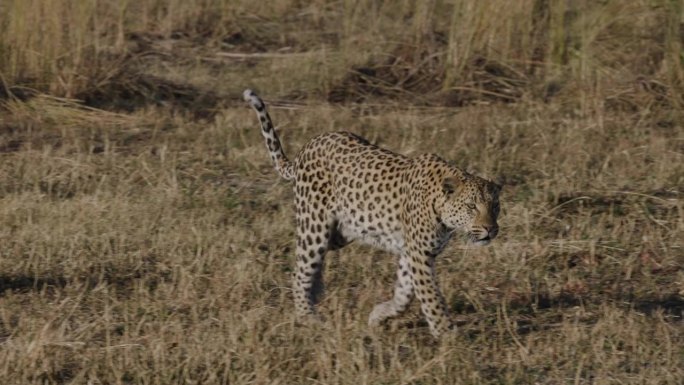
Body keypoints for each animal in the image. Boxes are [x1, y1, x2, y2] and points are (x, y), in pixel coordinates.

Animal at [243, 89, 500, 336]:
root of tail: (307, 147)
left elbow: (405, 295)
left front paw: (379, 315)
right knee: (300, 270)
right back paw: (308, 317)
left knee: (313, 263)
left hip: (340, 233)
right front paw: (447, 333)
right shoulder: (419, 254)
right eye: (471, 206)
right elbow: (431, 296)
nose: (490, 229)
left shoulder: (411, 253)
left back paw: (316, 294)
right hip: (314, 226)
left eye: (495, 207)